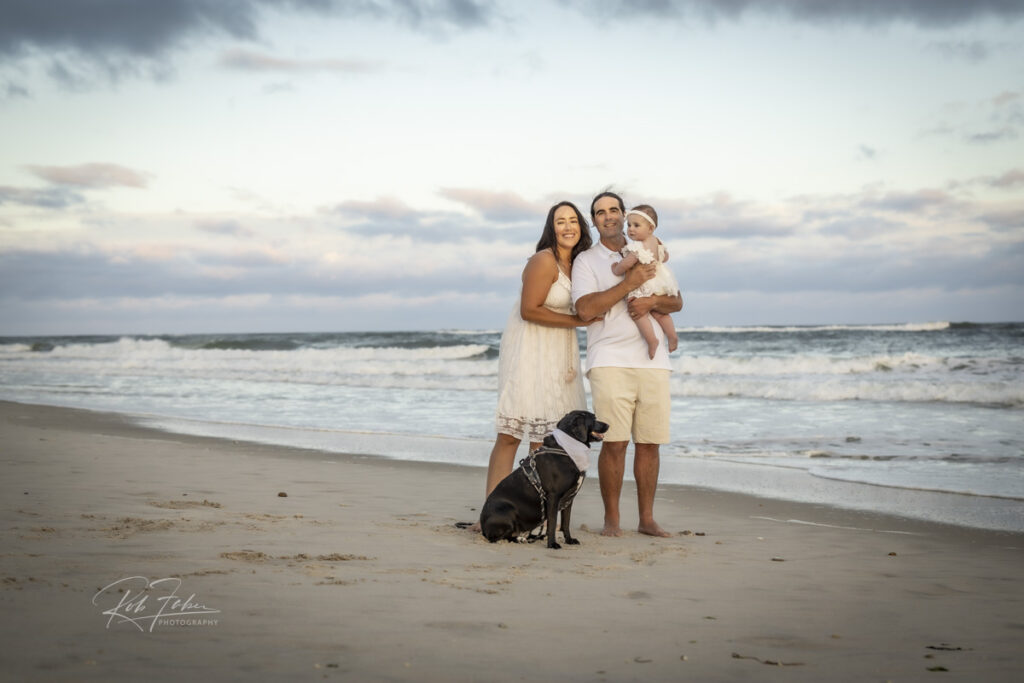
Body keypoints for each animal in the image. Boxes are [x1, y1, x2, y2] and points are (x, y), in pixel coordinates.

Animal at [479, 411, 606, 548]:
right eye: (594, 418)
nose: (608, 425)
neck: (566, 448)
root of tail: (482, 526)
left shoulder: (569, 499)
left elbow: (566, 523)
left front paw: (569, 540)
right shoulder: (553, 497)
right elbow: (552, 523)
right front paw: (552, 544)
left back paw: (533, 537)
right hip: (507, 510)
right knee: (499, 537)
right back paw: (520, 539)